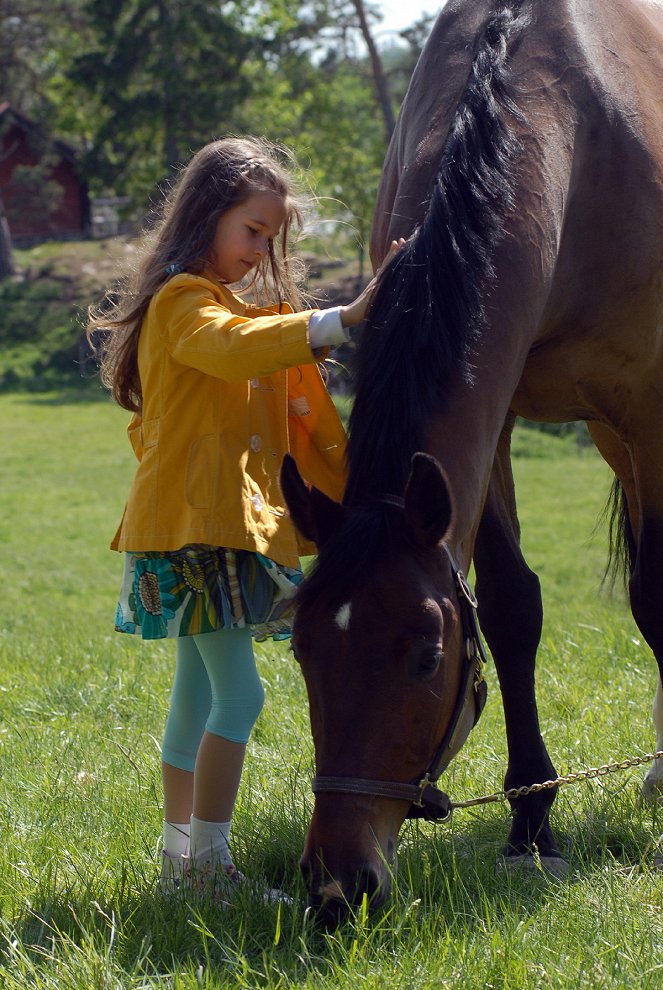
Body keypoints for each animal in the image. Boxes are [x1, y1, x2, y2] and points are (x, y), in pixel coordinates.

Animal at [278, 0, 663, 928]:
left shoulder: (649, 400)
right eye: (302, 649)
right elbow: (512, 607)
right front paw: (530, 821)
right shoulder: (489, 433)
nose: (338, 884)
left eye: (424, 656)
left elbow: (657, 599)